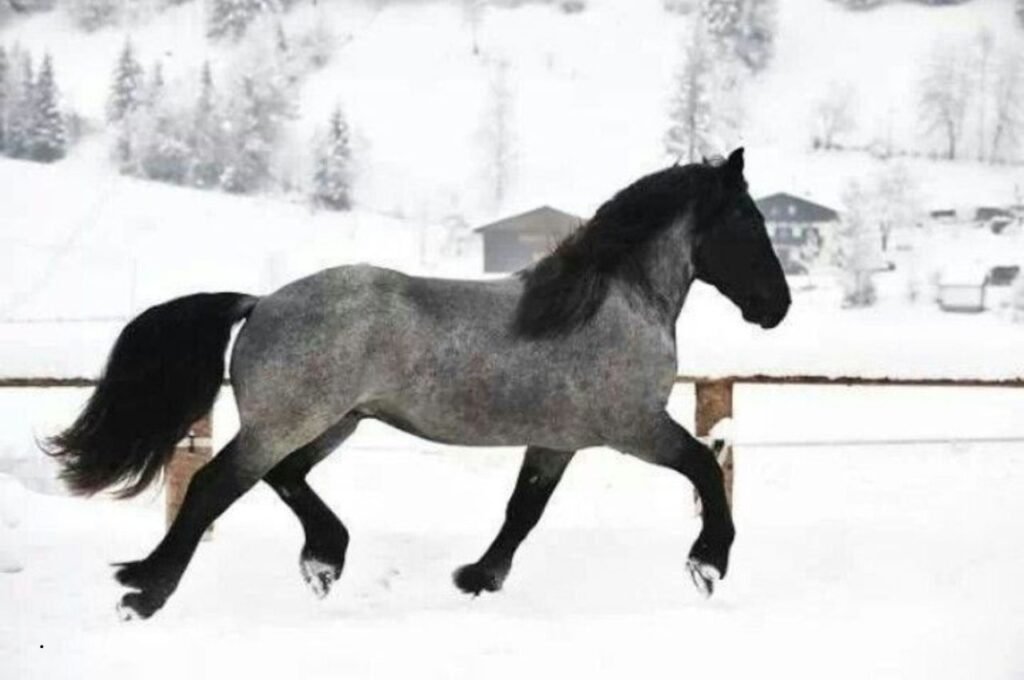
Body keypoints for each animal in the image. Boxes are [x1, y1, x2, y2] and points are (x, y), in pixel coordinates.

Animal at [46, 148, 790, 620]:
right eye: (750, 221)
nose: (776, 307)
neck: (610, 303)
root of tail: (259, 303)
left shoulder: (556, 442)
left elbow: (523, 512)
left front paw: (478, 578)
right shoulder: (633, 427)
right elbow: (703, 467)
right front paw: (708, 564)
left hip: (336, 422)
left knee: (284, 477)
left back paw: (324, 560)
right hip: (289, 422)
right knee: (213, 487)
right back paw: (144, 591)